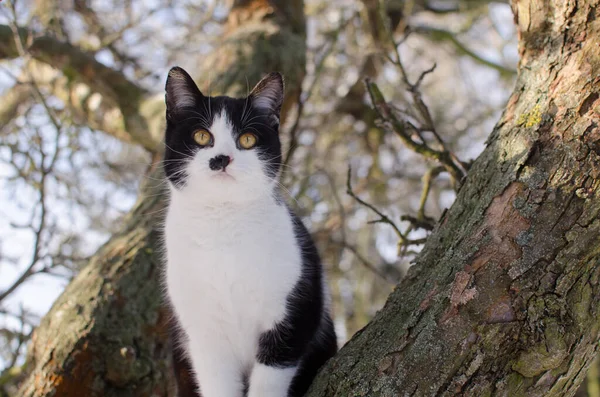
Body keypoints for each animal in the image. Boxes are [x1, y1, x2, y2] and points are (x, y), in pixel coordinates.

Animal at [161, 68, 338, 396]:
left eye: (247, 139)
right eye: (202, 136)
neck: (223, 225)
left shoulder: (294, 307)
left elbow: (272, 371)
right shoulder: (202, 333)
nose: (222, 159)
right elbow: (217, 381)